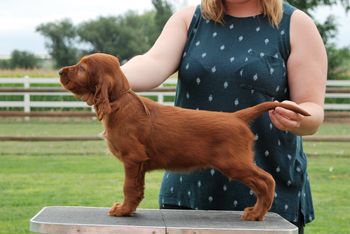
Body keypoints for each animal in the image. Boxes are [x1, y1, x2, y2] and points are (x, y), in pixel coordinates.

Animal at [58, 52, 310, 221]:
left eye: (82, 68)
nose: (60, 71)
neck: (118, 102)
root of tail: (237, 117)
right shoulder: (139, 164)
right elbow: (137, 189)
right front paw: (130, 209)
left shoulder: (132, 158)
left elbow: (129, 187)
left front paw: (122, 210)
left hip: (234, 163)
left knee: (267, 180)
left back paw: (257, 213)